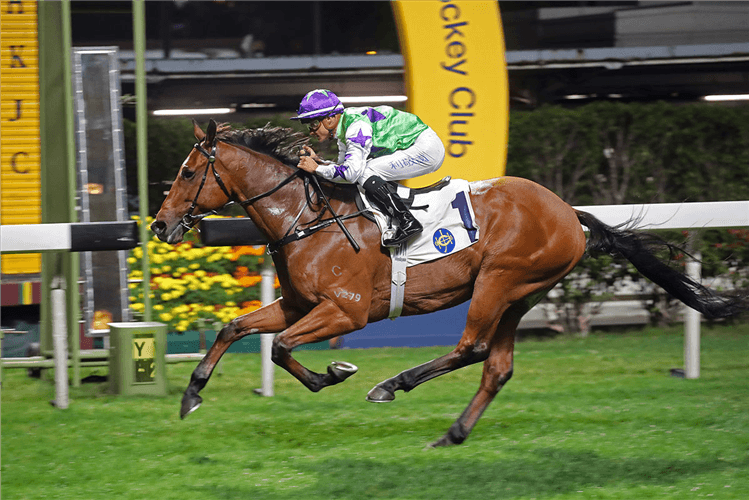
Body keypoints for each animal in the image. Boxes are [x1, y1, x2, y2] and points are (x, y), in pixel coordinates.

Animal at [152, 119, 744, 448]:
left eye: (187, 173)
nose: (159, 224)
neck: (308, 216)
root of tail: (567, 212)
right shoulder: (298, 303)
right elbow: (234, 328)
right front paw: (192, 395)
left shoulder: (346, 311)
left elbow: (282, 348)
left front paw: (334, 373)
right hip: (521, 295)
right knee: (497, 366)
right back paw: (452, 433)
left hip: (500, 280)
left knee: (472, 347)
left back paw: (392, 384)